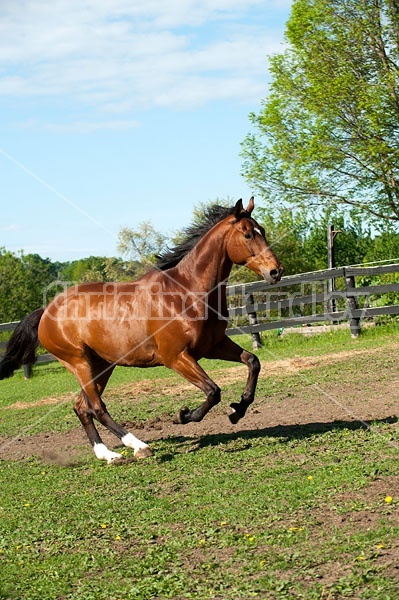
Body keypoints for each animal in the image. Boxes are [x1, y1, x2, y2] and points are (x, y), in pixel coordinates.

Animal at [0, 199, 282, 462]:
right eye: (248, 234)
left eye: (263, 230)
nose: (276, 271)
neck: (186, 292)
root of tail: (46, 311)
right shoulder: (176, 357)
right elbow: (213, 391)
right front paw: (183, 415)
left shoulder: (214, 345)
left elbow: (252, 361)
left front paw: (238, 409)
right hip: (79, 363)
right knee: (97, 407)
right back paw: (138, 447)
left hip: (102, 365)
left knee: (81, 407)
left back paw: (107, 454)